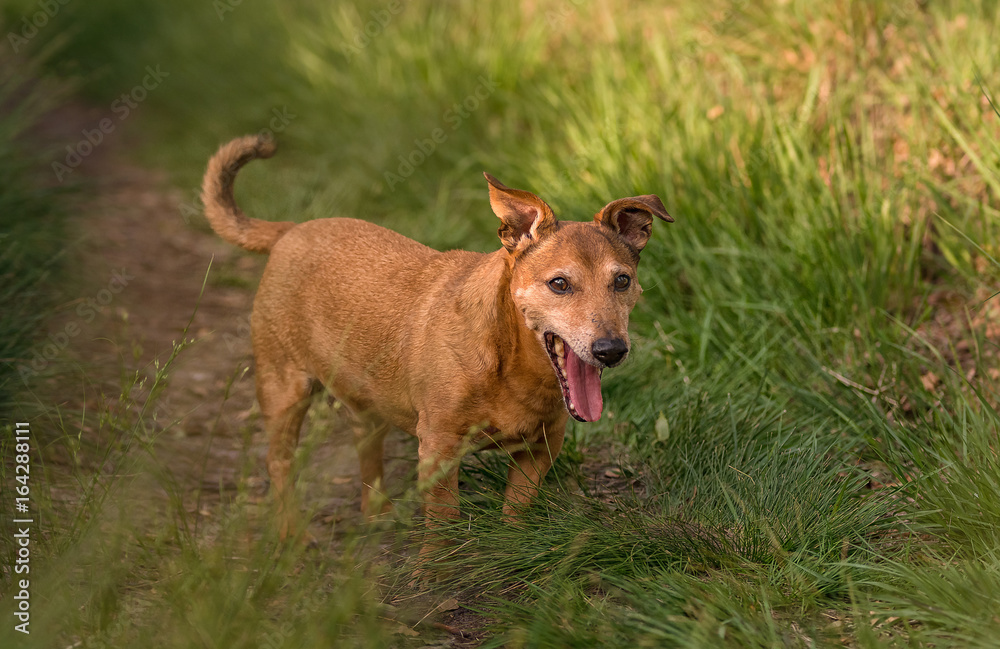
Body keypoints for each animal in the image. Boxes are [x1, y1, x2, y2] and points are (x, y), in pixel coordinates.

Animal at [202, 135, 672, 540]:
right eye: (559, 284)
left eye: (622, 281)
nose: (611, 350)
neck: (511, 362)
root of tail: (290, 230)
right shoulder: (439, 449)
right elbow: (444, 523)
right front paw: (436, 574)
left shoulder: (542, 447)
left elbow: (516, 511)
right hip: (284, 389)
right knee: (279, 462)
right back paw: (290, 533)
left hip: (367, 401)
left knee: (366, 452)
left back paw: (378, 516)